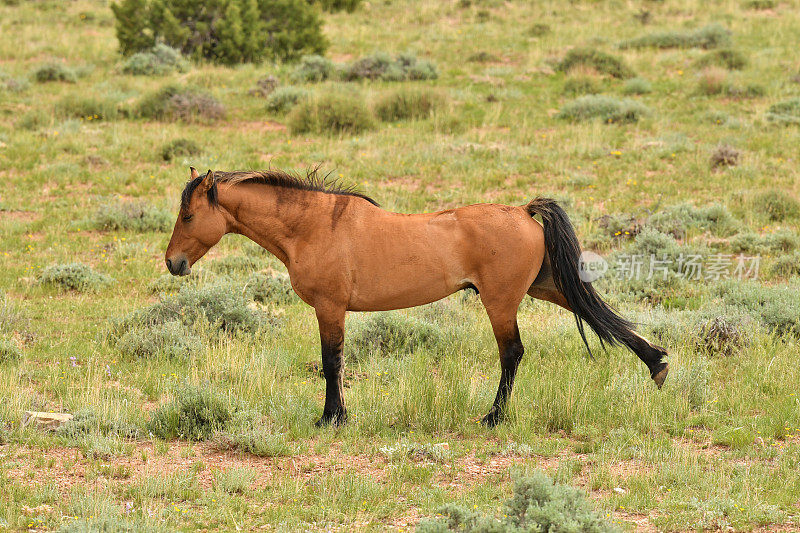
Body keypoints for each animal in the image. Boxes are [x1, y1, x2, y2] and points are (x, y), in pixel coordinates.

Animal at [164, 168, 668, 426]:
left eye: (187, 215)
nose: (173, 263)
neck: (313, 226)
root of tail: (523, 211)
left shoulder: (330, 309)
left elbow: (332, 362)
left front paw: (331, 418)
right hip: (546, 286)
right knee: (597, 313)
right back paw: (656, 363)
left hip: (501, 302)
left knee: (513, 353)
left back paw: (493, 417)